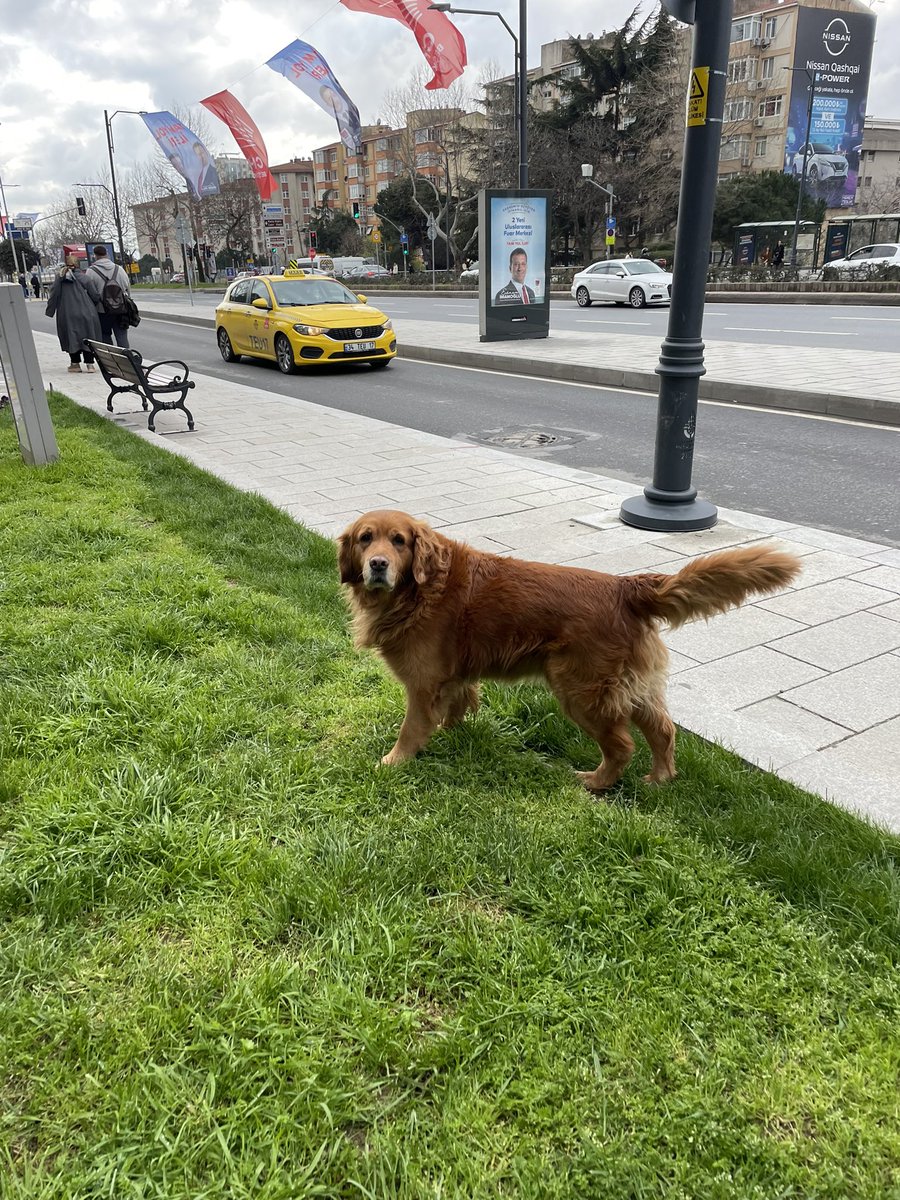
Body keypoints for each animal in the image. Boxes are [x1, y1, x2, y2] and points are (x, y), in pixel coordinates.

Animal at [340, 511, 801, 792]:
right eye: (366, 539)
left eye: (399, 541)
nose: (378, 564)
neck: (418, 591)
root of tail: (627, 588)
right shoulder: (454, 677)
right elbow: (458, 707)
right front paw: (451, 735)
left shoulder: (424, 683)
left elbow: (412, 728)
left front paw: (394, 761)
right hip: (633, 688)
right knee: (663, 730)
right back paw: (658, 780)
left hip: (581, 691)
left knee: (622, 745)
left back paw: (595, 783)